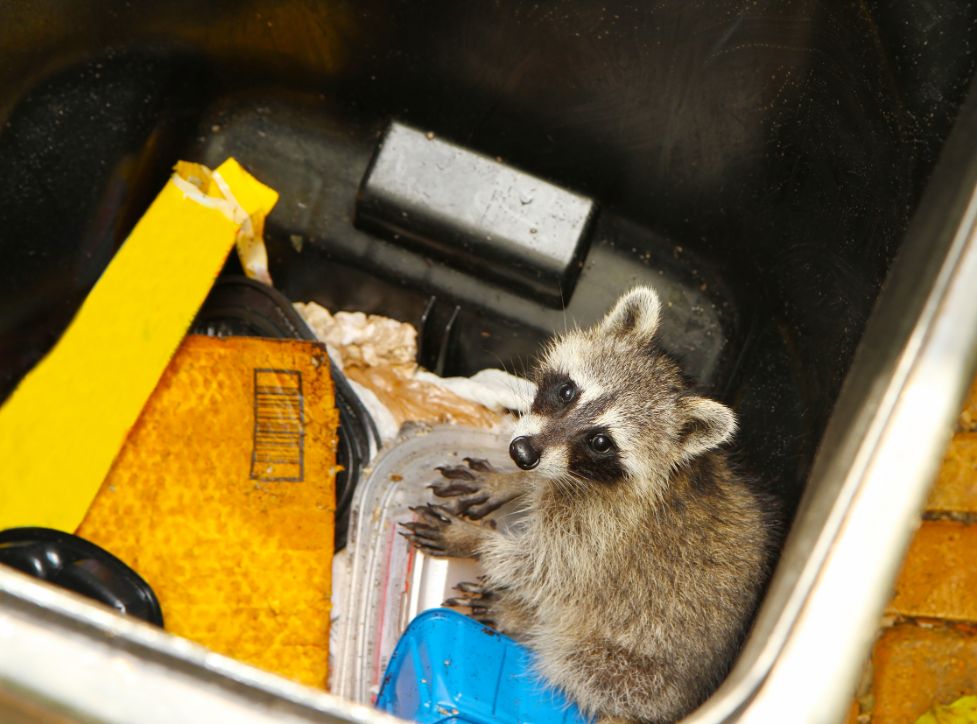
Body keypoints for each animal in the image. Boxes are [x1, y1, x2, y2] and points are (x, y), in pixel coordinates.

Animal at [398, 286, 776, 720]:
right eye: (567, 392)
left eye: (600, 441)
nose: (521, 453)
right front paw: (510, 481)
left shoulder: (600, 535)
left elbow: (544, 568)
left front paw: (471, 539)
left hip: (631, 669)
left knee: (571, 656)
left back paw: (522, 619)